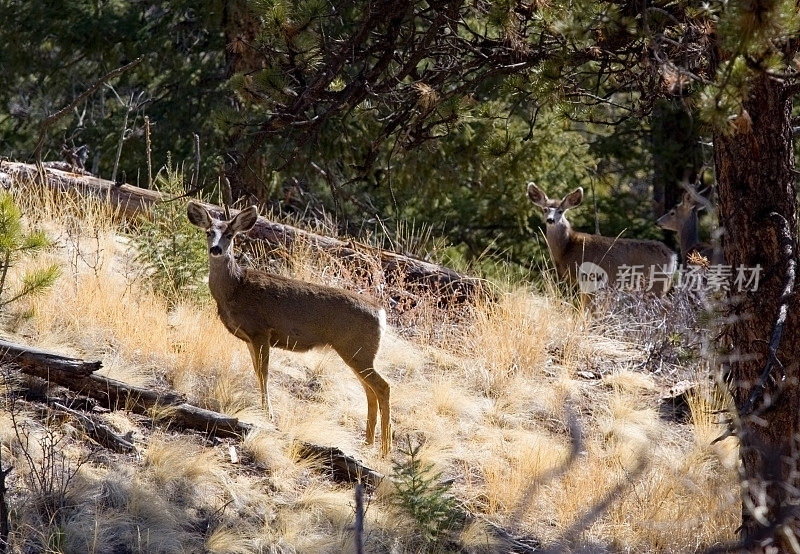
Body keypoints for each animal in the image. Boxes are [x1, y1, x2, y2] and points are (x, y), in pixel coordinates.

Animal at [184, 201, 390, 450]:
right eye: (208, 232)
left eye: (230, 234)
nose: (215, 249)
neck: (235, 289)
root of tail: (381, 313)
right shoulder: (249, 337)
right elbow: (257, 371)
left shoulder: (261, 330)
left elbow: (264, 372)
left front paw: (268, 414)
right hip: (357, 352)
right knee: (369, 389)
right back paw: (368, 442)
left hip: (357, 349)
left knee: (382, 387)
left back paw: (385, 449)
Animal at [528, 181, 680, 296]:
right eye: (545, 209)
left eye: (560, 211)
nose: (550, 220)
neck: (567, 248)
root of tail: (672, 256)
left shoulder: (588, 277)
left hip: (656, 283)